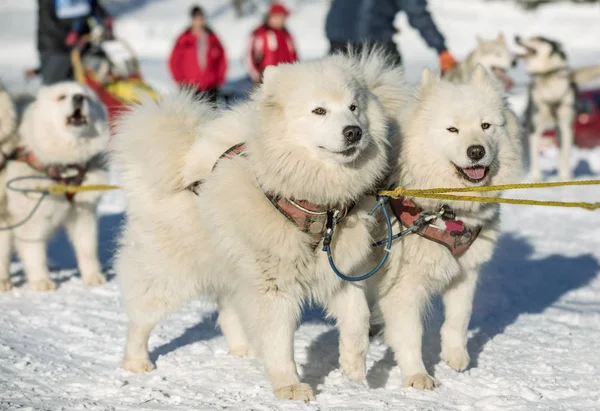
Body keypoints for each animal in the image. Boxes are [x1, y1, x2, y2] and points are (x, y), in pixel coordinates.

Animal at [0, 82, 109, 292]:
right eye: (61, 97)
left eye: (85, 96)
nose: (78, 98)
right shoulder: (31, 221)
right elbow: (35, 255)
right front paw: (42, 281)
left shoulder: (83, 213)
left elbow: (87, 248)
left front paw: (93, 276)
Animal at [115, 52, 404, 402]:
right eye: (319, 110)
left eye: (353, 107)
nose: (354, 132)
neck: (316, 202)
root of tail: (177, 167)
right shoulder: (273, 284)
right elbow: (280, 340)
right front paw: (289, 386)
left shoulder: (341, 271)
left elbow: (357, 321)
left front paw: (354, 370)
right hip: (169, 274)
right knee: (141, 318)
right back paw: (136, 361)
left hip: (233, 270)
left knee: (227, 312)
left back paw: (245, 350)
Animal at [370, 67, 524, 390]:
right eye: (452, 130)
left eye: (486, 125)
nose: (476, 151)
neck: (446, 209)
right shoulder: (403, 285)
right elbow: (410, 334)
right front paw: (417, 376)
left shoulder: (466, 271)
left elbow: (459, 318)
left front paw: (455, 356)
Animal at [512, 36, 600, 181]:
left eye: (538, 38)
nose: (517, 37)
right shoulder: (534, 128)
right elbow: (535, 156)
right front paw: (536, 177)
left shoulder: (566, 127)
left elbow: (565, 155)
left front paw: (564, 177)